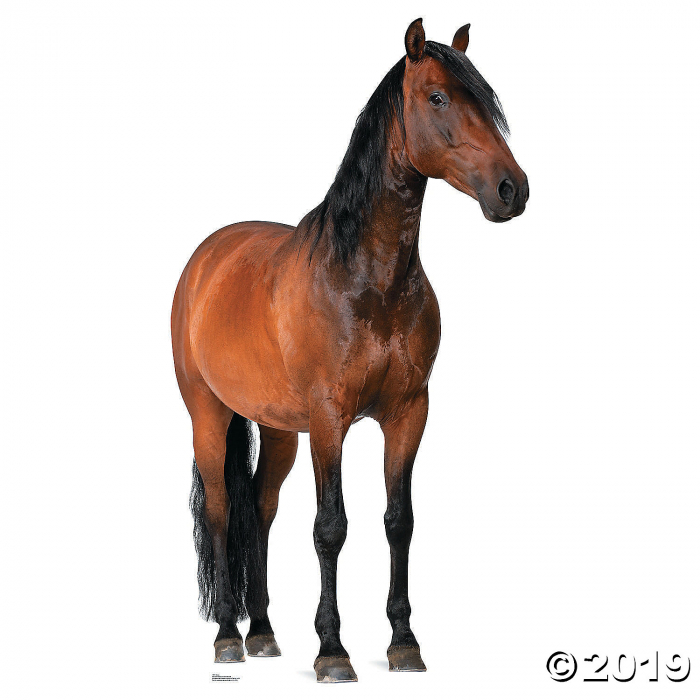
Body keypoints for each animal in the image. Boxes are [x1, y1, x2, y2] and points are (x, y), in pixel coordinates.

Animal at [171, 18, 528, 683]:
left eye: (488, 101)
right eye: (438, 98)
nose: (511, 189)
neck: (365, 278)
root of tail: (205, 260)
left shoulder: (409, 413)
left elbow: (399, 520)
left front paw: (404, 642)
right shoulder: (330, 420)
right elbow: (330, 527)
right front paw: (333, 650)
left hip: (279, 430)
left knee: (260, 508)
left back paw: (263, 632)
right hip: (209, 415)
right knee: (223, 512)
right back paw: (229, 636)